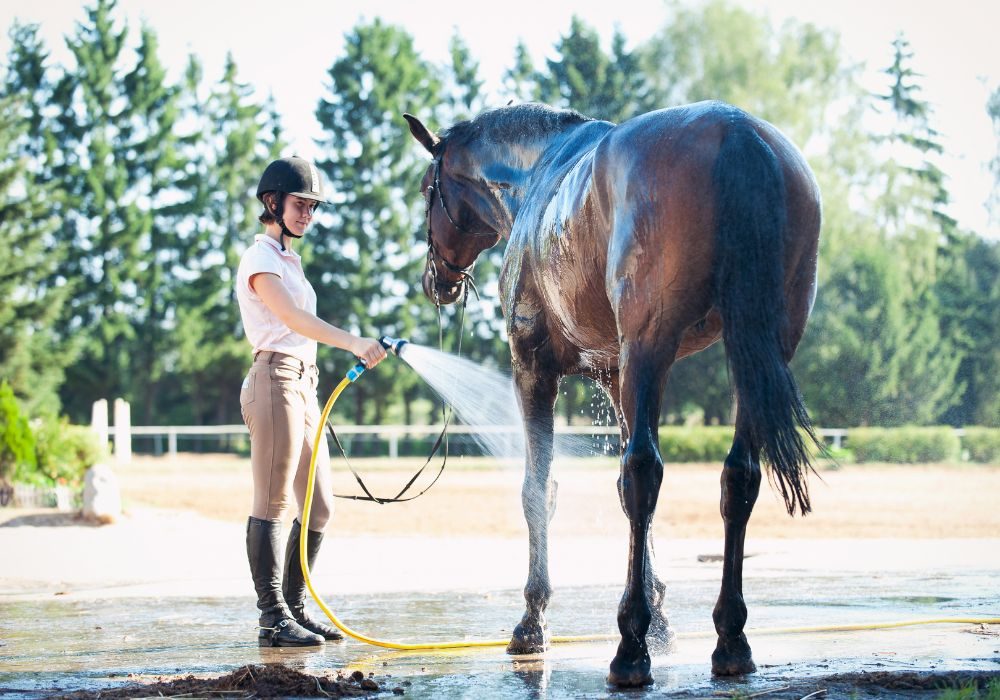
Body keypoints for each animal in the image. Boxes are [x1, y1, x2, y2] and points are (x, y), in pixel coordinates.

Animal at [404, 100, 822, 687]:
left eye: (427, 190)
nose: (435, 280)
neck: (536, 175)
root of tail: (736, 130)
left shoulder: (533, 366)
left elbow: (541, 490)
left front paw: (533, 621)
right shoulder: (618, 376)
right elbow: (626, 497)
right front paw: (663, 620)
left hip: (653, 341)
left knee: (645, 471)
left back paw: (630, 648)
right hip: (757, 348)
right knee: (736, 477)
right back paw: (729, 639)